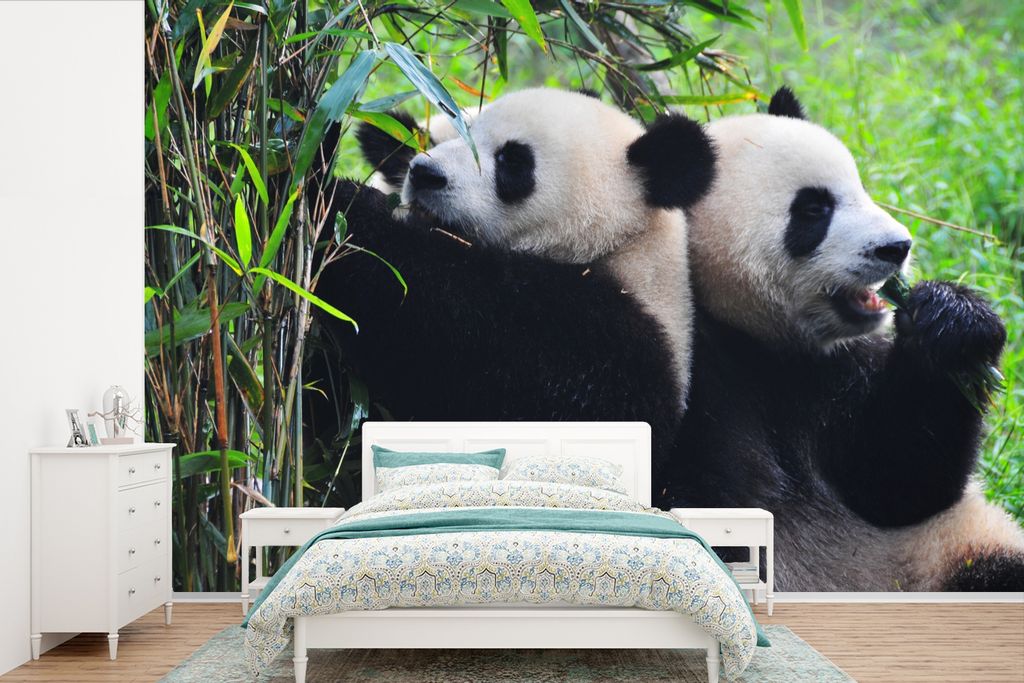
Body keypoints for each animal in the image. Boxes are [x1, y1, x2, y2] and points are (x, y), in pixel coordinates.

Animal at [307, 88, 715, 460]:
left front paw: (336, 196)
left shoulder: (607, 351)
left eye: (513, 161)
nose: (424, 173)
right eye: (462, 131)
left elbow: (444, 316)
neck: (618, 245)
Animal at [663, 86, 1024, 591]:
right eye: (814, 209)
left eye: (861, 188)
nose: (897, 247)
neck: (759, 339)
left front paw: (952, 325)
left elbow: (896, 481)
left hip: (951, 552)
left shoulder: (840, 365)